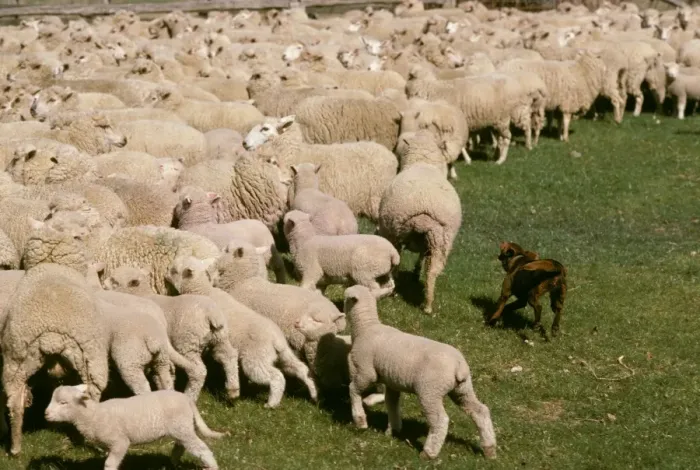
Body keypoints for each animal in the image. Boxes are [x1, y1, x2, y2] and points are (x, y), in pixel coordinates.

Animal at [45, 386, 224, 470]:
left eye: (63, 403)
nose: (45, 414)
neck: (94, 415)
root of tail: (186, 398)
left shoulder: (120, 442)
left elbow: (110, 463)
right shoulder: (111, 444)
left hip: (181, 427)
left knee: (200, 448)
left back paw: (212, 466)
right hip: (181, 428)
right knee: (182, 445)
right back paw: (173, 462)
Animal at [104, 266, 240, 402]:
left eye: (114, 281)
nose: (104, 286)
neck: (142, 294)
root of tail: (211, 313)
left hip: (187, 343)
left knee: (199, 371)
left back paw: (190, 396)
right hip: (220, 336)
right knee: (229, 356)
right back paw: (233, 390)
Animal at [165, 256, 318, 408]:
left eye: (174, 270)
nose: (165, 274)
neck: (202, 290)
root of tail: (276, 339)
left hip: (255, 359)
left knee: (276, 376)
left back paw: (271, 403)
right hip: (283, 354)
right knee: (300, 368)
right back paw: (314, 394)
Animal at [344, 285, 497, 460]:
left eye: (345, 298)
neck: (366, 327)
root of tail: (459, 365)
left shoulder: (365, 371)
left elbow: (353, 390)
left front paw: (360, 421)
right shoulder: (392, 383)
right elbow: (392, 403)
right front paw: (393, 430)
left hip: (430, 390)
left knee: (440, 420)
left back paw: (429, 453)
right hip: (463, 388)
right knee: (480, 411)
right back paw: (490, 449)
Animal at [378, 162, 462, 314]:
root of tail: (423, 220)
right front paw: (416, 272)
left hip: (395, 233)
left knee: (395, 262)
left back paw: (392, 287)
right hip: (439, 241)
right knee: (432, 272)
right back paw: (428, 306)